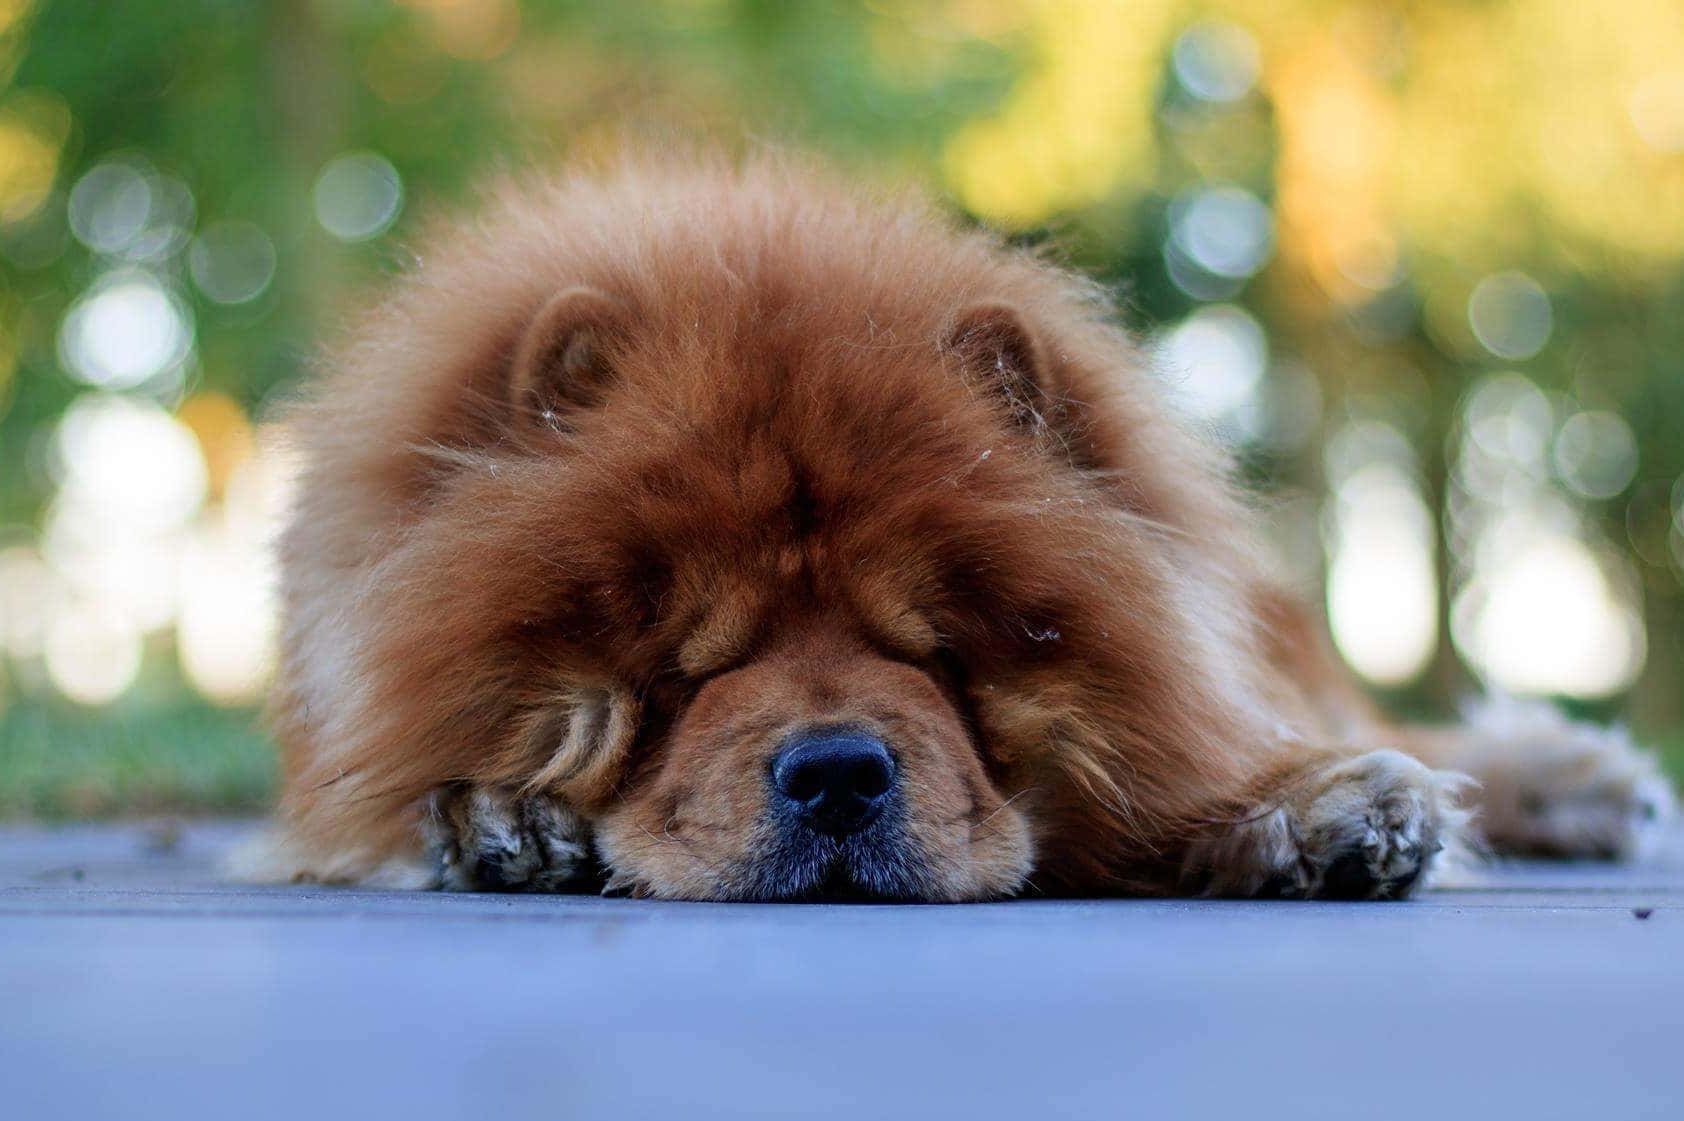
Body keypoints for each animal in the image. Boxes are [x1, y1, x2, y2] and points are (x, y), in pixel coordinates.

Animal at [249, 153, 1670, 902]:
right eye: (682, 671)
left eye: (938, 651)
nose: (836, 773)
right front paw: (500, 817)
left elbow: (1200, 758)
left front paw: (1321, 809)